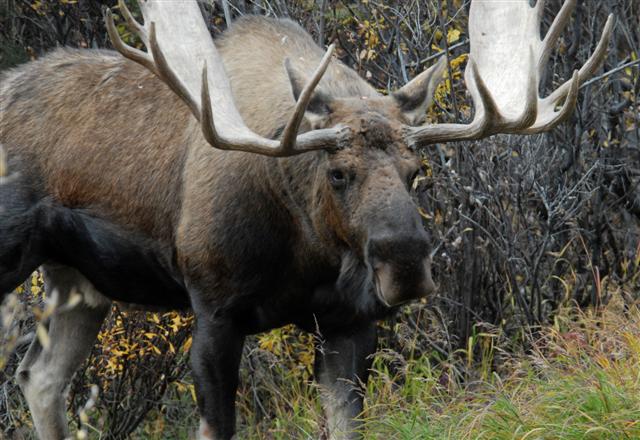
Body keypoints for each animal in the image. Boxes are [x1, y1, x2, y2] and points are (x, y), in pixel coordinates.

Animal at [0, 0, 612, 438]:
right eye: (338, 172)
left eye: (417, 170)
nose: (406, 263)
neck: (308, 251)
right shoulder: (214, 309)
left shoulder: (351, 320)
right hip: (15, 255)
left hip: (78, 280)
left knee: (40, 378)